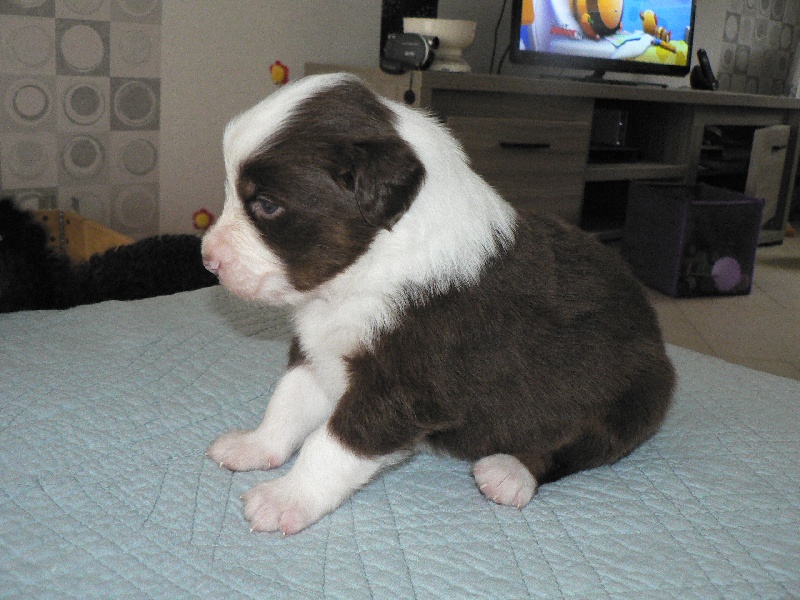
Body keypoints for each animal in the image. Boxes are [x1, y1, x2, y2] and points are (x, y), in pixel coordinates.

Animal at [202, 73, 675, 536]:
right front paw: (254, 446)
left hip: (635, 399)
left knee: (575, 446)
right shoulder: (321, 351)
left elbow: (332, 444)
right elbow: (287, 402)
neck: (364, 274)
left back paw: (509, 473)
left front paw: (284, 499)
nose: (208, 259)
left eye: (267, 205)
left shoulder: (401, 389)